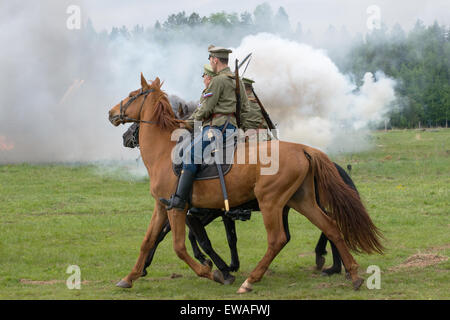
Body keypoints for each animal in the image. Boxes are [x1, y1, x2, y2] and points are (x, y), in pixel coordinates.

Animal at [106, 74, 384, 292]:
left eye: (132, 94)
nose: (112, 114)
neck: (166, 151)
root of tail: (304, 148)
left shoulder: (179, 208)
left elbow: (180, 246)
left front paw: (215, 272)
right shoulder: (163, 207)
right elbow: (148, 241)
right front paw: (130, 276)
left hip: (271, 202)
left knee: (279, 239)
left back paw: (252, 280)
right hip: (302, 201)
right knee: (331, 227)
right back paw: (352, 274)